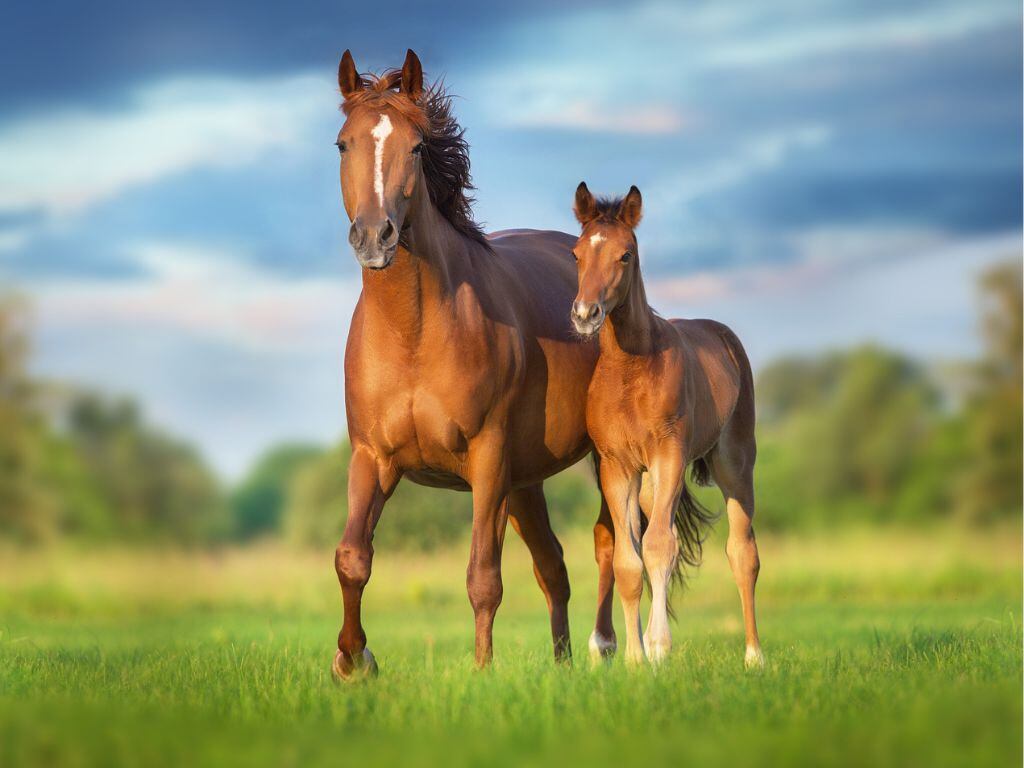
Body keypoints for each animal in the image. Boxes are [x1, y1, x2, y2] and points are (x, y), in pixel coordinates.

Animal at [331, 49, 618, 679]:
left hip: (598, 462)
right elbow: (352, 558)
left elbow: (483, 577)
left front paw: (482, 673)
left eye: (416, 146)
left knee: (613, 543)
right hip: (526, 481)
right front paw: (353, 661)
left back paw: (606, 648)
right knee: (554, 568)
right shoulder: (372, 457)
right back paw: (563, 665)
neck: (413, 334)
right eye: (343, 144)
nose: (374, 236)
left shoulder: (487, 459)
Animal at [568, 182, 764, 668]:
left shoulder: (668, 456)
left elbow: (659, 546)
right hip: (654, 484)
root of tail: (724, 336)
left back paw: (755, 656)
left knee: (742, 553)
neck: (630, 370)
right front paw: (636, 659)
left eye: (626, 255)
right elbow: (628, 560)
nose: (585, 314)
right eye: (576, 253)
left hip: (733, 464)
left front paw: (658, 648)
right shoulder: (618, 467)